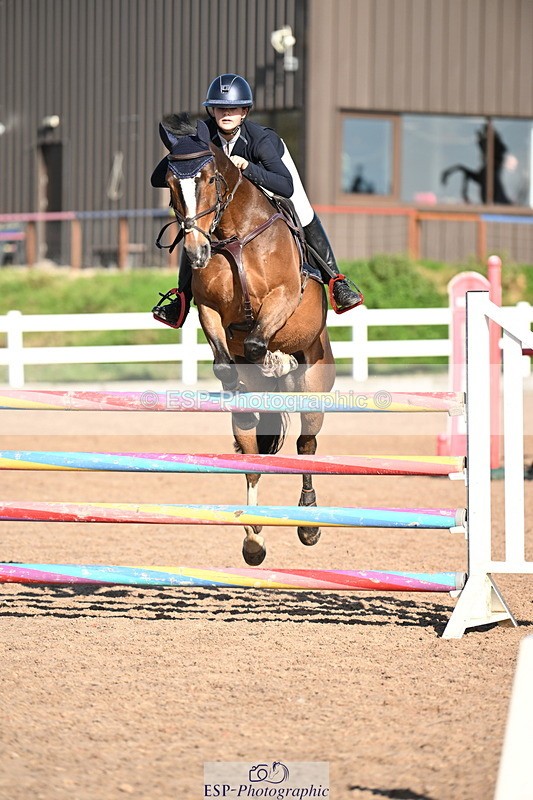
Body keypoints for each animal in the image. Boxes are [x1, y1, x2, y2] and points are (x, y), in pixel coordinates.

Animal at [159, 113, 335, 566]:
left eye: (208, 178)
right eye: (169, 184)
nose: (196, 251)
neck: (236, 232)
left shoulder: (284, 297)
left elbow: (260, 341)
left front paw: (273, 360)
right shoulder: (209, 310)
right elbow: (227, 361)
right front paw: (243, 375)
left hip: (316, 380)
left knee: (307, 444)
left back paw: (309, 524)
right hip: (249, 423)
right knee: (252, 456)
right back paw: (253, 539)